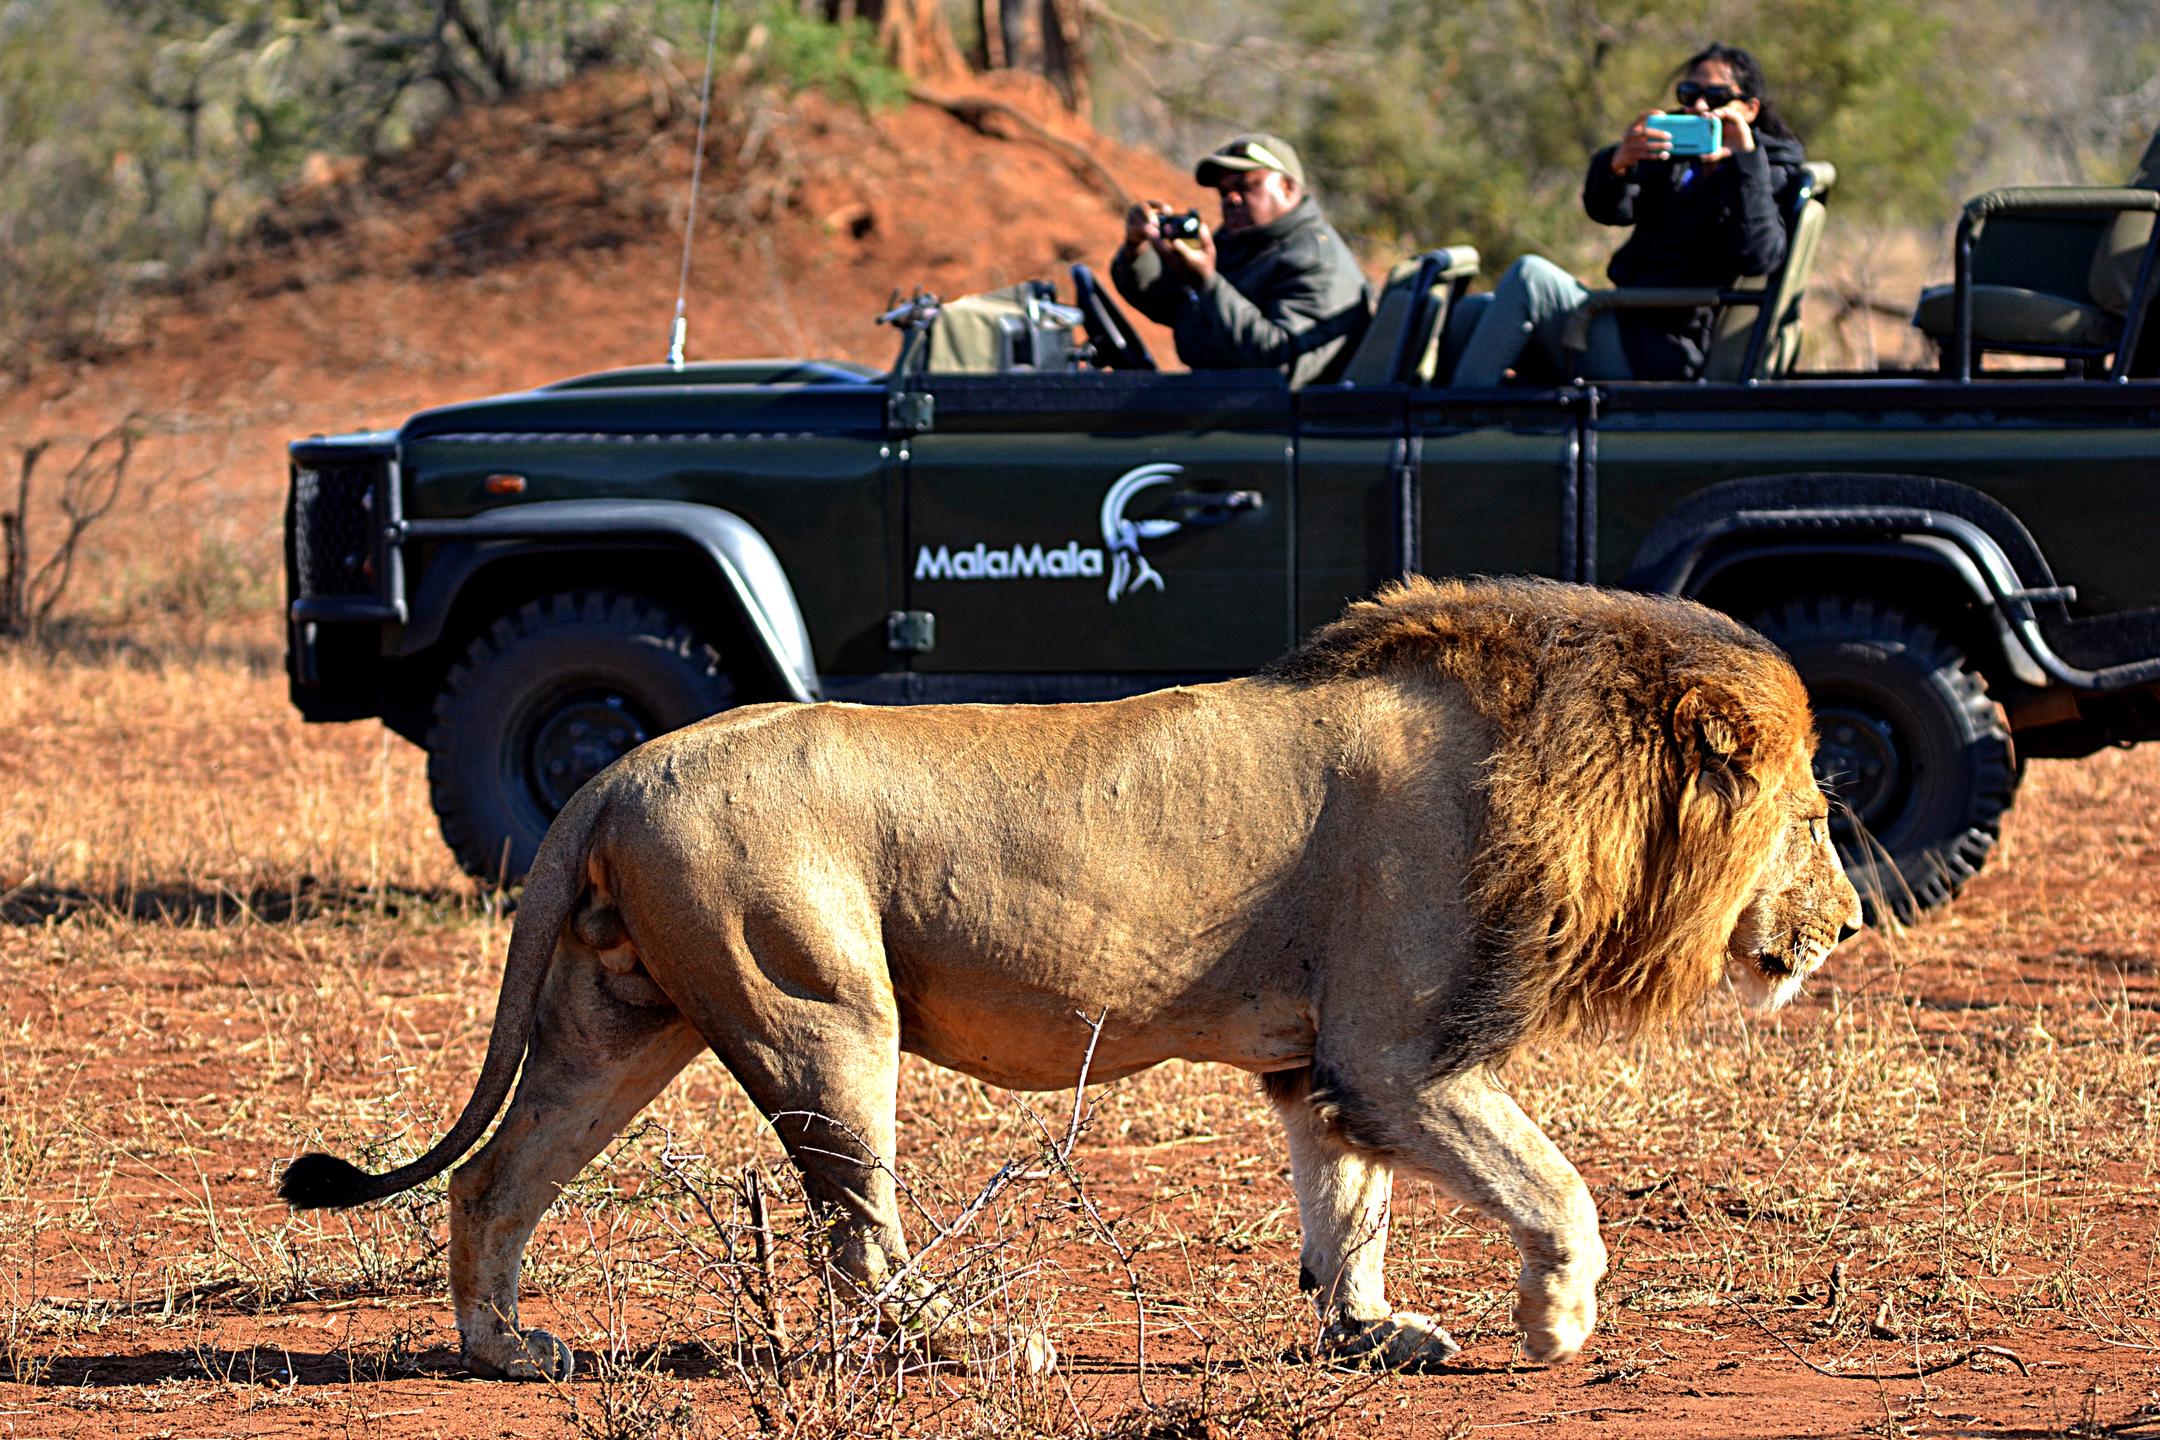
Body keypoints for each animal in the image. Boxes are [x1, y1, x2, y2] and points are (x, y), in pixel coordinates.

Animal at [279, 576, 1861, 1379]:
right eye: (1816, 815)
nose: (1849, 928)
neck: (1557, 757)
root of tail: (614, 773)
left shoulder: (1325, 1067)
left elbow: (1347, 1212)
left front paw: (1369, 1334)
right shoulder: (1402, 1052)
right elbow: (1557, 1187)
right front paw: (1557, 1322)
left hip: (618, 1019)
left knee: (498, 1179)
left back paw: (507, 1350)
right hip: (821, 1014)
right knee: (856, 1240)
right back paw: (977, 1341)